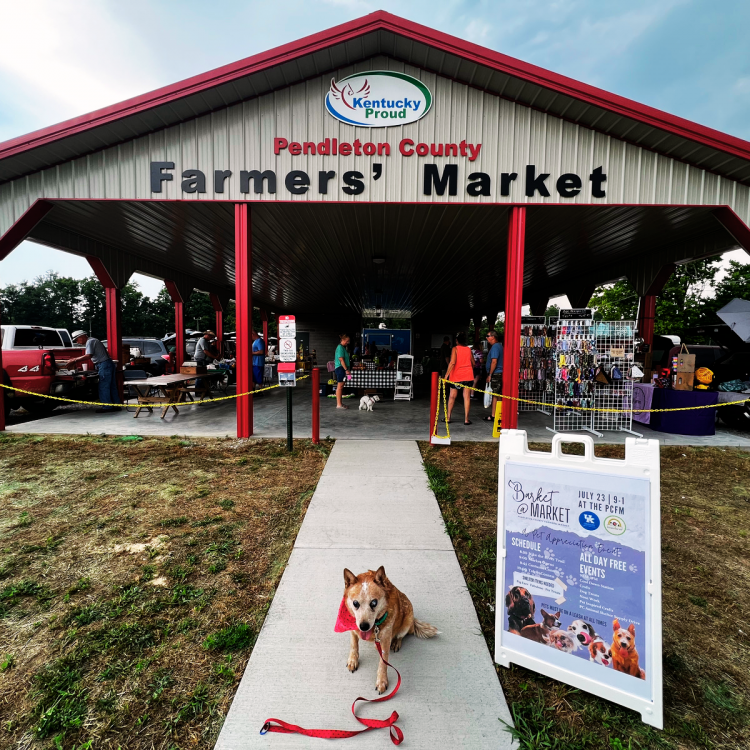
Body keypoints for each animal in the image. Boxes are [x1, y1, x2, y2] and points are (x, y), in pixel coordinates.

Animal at [346, 568, 440, 696]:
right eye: (355, 603)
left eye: (374, 603)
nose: (364, 626)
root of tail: (413, 620)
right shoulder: (353, 628)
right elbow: (353, 645)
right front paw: (353, 660)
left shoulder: (385, 639)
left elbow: (383, 663)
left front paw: (381, 682)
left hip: (407, 622)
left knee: (400, 636)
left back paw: (396, 643)